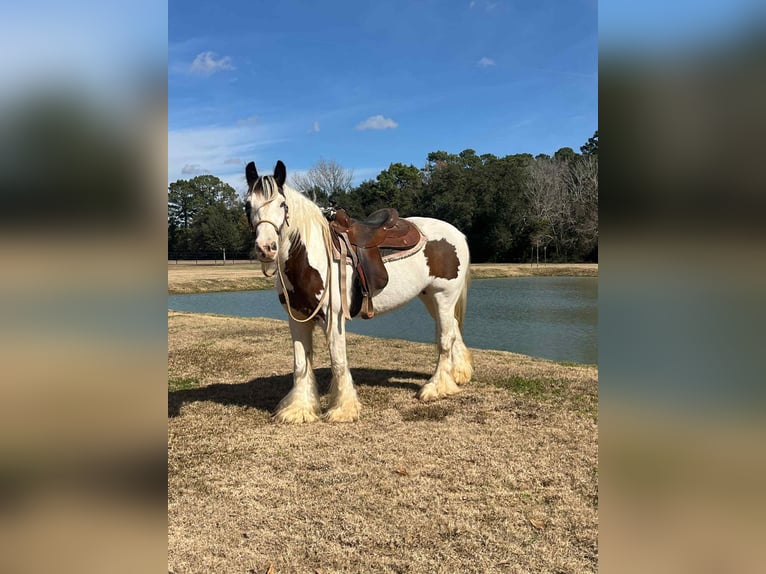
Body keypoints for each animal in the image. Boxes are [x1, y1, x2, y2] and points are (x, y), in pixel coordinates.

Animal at [244, 160, 473, 423]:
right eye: (247, 205)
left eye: (282, 204)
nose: (266, 248)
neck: (312, 256)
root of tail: (457, 233)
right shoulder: (298, 319)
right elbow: (301, 363)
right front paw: (299, 410)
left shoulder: (333, 319)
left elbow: (338, 361)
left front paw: (343, 409)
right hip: (430, 297)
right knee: (452, 330)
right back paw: (458, 375)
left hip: (443, 295)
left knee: (445, 339)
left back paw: (435, 388)